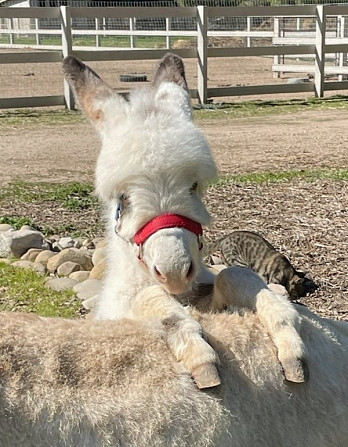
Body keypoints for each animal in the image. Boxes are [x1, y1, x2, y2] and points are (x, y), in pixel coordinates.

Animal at [63, 53, 308, 388]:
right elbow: (152, 300)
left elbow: (234, 275)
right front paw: (198, 354)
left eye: (194, 186)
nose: (175, 271)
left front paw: (290, 344)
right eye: (122, 198)